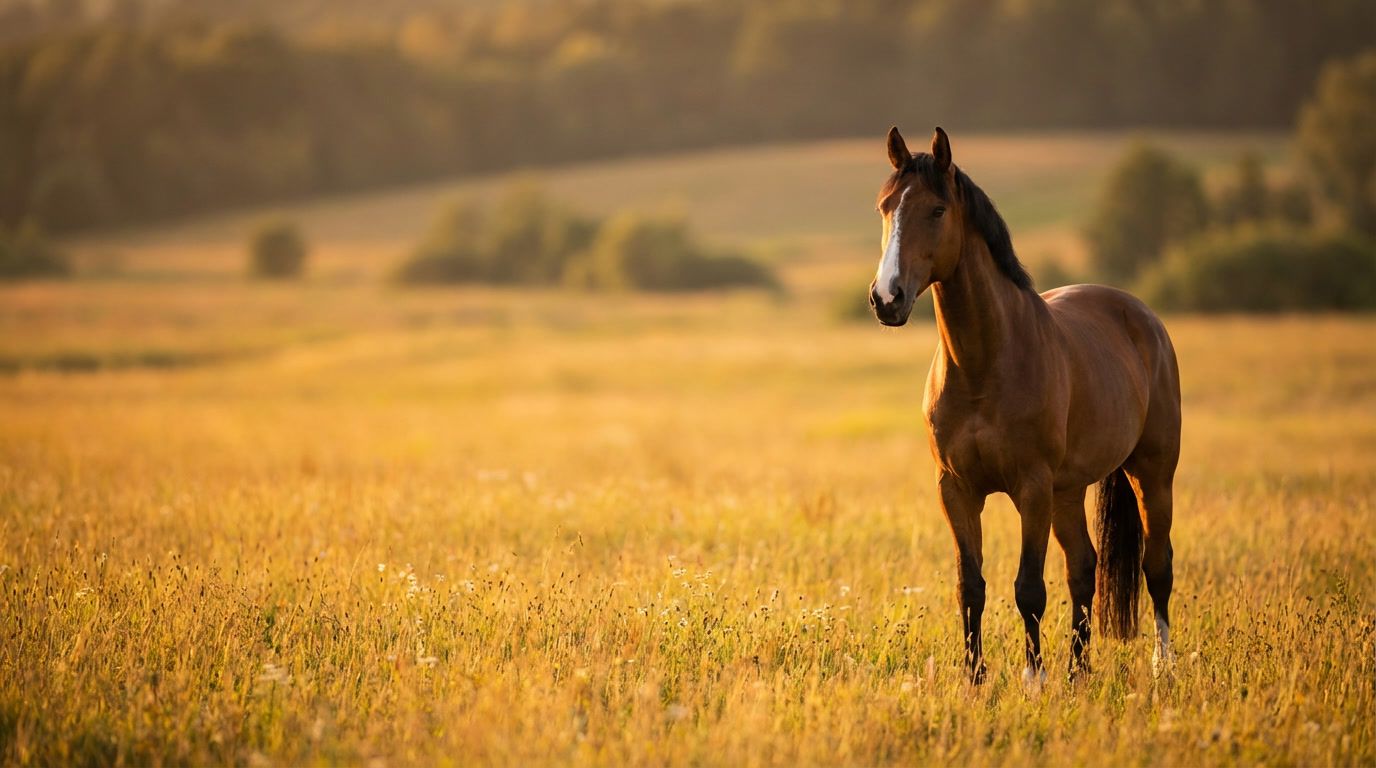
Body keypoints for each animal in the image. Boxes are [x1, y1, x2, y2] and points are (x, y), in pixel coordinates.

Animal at [869, 127, 1181, 684]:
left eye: (936, 210)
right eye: (886, 207)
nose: (887, 298)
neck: (984, 365)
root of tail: (1142, 316)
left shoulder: (1030, 488)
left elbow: (1028, 588)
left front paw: (1034, 680)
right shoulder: (956, 491)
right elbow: (971, 587)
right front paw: (974, 678)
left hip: (1152, 473)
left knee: (1157, 566)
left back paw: (1161, 666)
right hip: (1068, 491)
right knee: (1084, 568)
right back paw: (1079, 672)